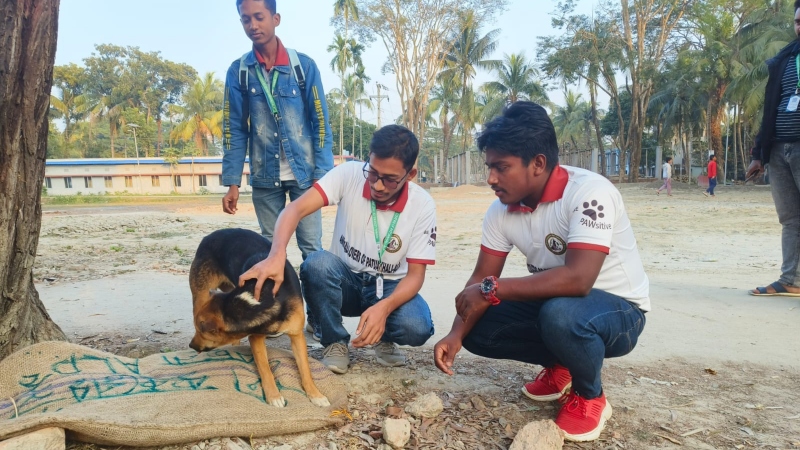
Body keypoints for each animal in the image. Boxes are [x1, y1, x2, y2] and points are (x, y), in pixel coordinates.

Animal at [189, 229, 330, 408]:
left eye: (203, 332)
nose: (191, 345)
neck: (262, 296)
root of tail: (209, 236)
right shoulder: (256, 338)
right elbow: (265, 369)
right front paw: (274, 396)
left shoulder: (297, 335)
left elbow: (305, 369)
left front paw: (315, 394)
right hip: (201, 294)